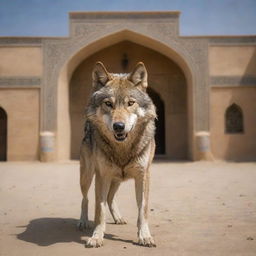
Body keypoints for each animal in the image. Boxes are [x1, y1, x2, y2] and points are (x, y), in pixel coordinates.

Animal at [78, 61, 157, 247]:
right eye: (108, 104)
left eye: (130, 103)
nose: (119, 126)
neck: (122, 149)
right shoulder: (102, 175)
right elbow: (99, 211)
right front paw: (96, 237)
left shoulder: (143, 176)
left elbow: (142, 210)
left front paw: (145, 236)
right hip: (87, 176)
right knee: (85, 198)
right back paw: (83, 221)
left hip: (118, 179)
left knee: (110, 197)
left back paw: (118, 218)